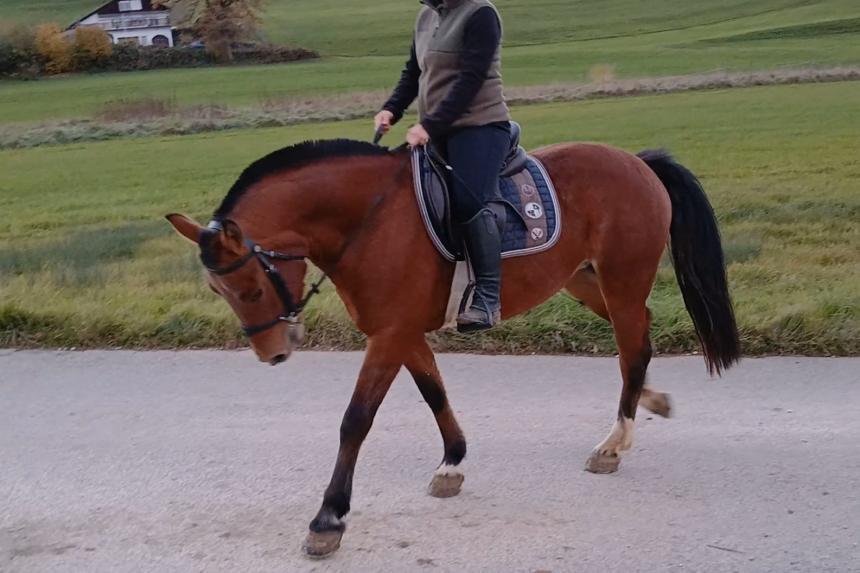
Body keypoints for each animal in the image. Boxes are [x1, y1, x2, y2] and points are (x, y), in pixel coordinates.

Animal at [166, 138, 740, 557]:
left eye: (250, 288)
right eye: (217, 291)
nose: (272, 352)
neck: (368, 218)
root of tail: (637, 162)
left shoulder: (389, 335)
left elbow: (356, 420)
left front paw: (329, 518)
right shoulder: (402, 333)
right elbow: (433, 392)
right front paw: (452, 463)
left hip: (622, 279)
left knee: (632, 345)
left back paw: (614, 443)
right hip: (583, 280)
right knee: (637, 338)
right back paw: (648, 400)